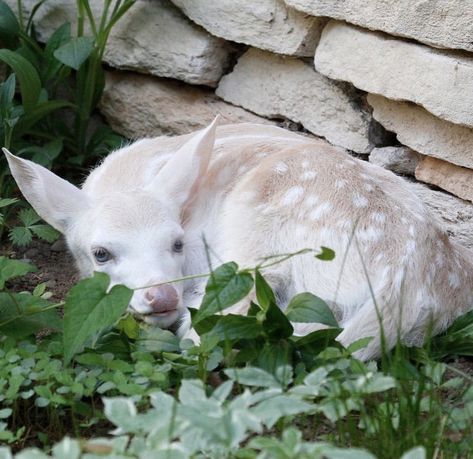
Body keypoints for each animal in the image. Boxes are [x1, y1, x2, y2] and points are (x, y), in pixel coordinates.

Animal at [3, 117, 472, 360]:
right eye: (100, 253)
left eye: (177, 243)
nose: (162, 297)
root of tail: (404, 285)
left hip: (256, 234)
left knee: (228, 318)